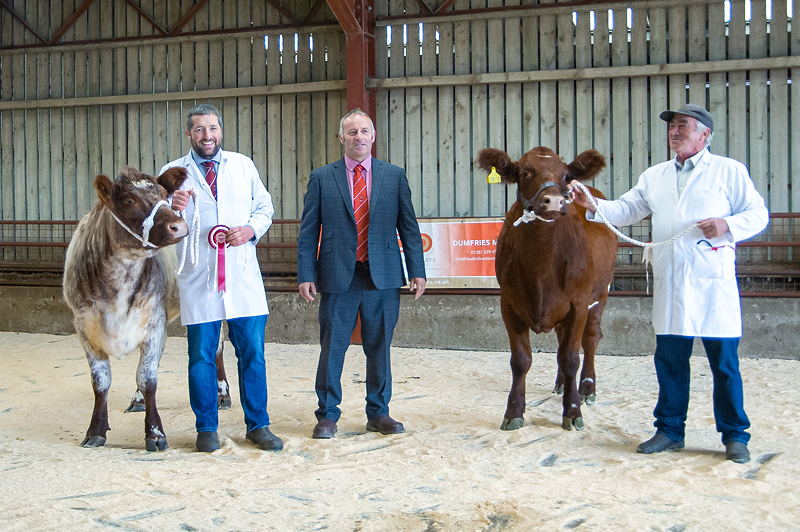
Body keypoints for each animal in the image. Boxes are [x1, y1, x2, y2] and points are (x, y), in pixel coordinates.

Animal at [64, 166, 189, 448]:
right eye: (129, 201)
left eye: (164, 194)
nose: (178, 226)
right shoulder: (84, 328)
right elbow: (101, 381)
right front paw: (95, 431)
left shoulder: (155, 323)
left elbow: (148, 378)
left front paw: (155, 433)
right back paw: (138, 399)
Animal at [476, 147, 620, 432]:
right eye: (524, 172)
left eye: (565, 175)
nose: (553, 201)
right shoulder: (508, 303)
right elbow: (521, 360)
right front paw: (514, 411)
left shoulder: (578, 303)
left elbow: (571, 358)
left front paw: (572, 412)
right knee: (562, 339)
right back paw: (562, 384)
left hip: (600, 295)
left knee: (590, 339)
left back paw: (586, 388)